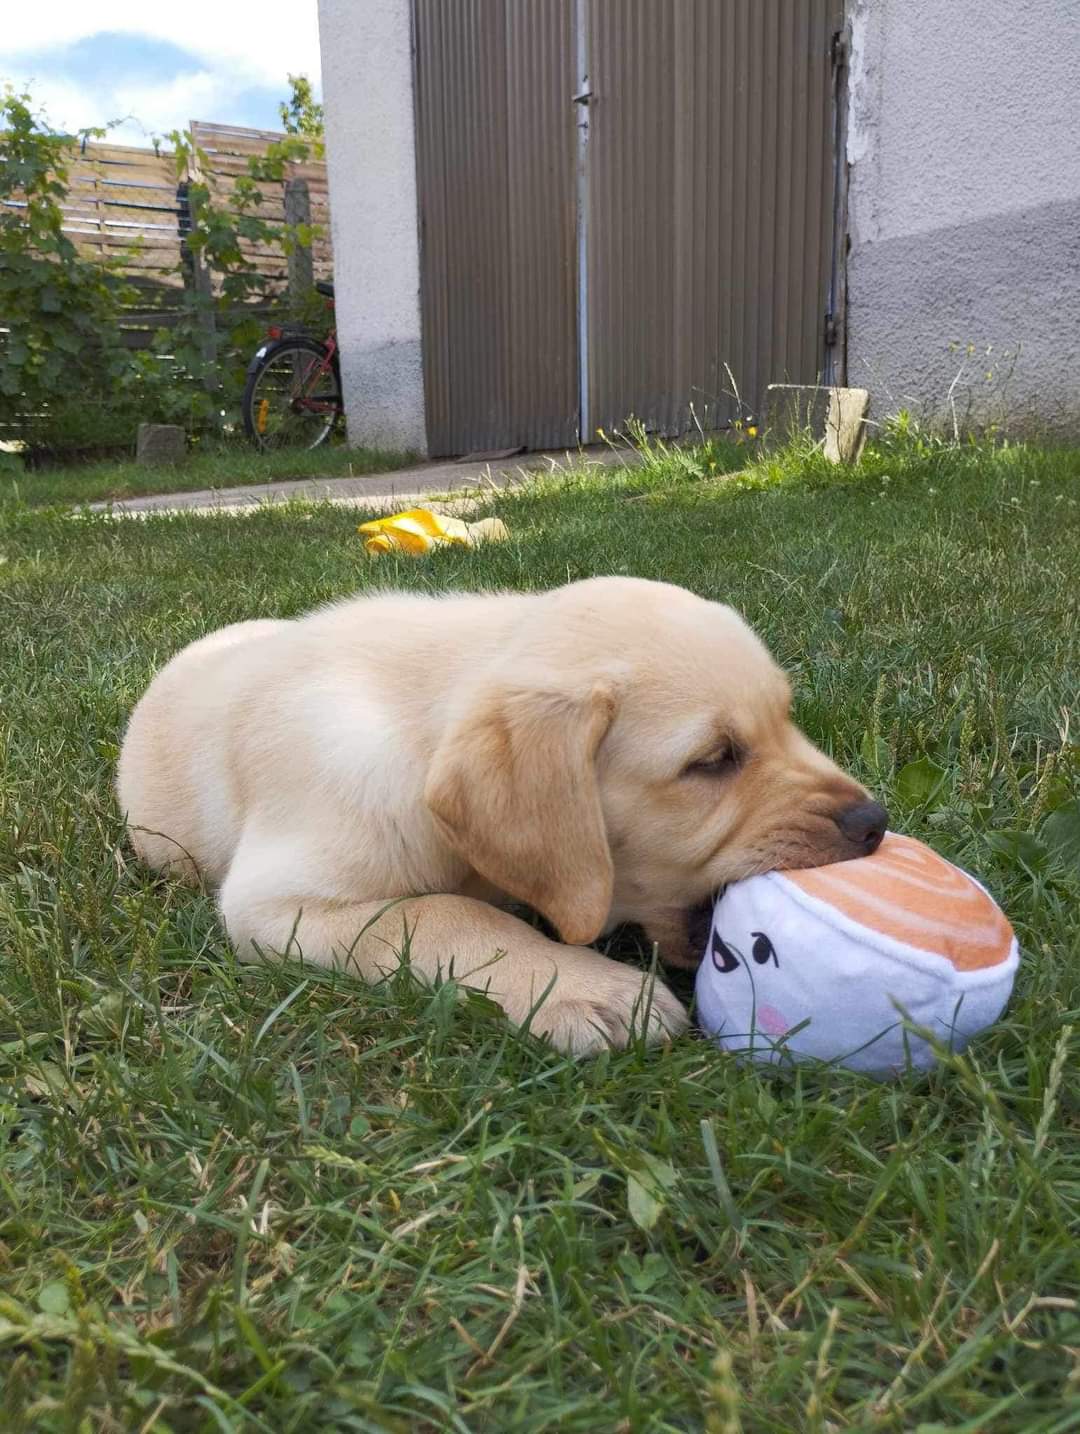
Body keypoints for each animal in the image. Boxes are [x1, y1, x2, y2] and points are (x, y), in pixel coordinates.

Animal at [116, 576, 886, 1056]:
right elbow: (443, 913)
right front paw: (587, 988)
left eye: (788, 720)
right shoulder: (277, 903)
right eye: (715, 759)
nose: (874, 822)